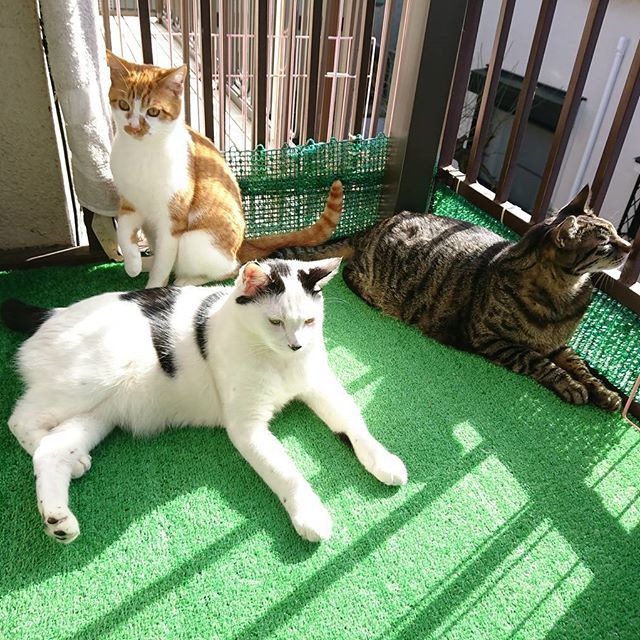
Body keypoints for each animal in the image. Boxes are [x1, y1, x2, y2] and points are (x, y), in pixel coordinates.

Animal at [1, 258, 407, 544]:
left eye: (309, 321)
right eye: (275, 321)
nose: (297, 345)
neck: (279, 362)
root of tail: (53, 313)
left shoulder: (320, 385)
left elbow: (353, 421)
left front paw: (383, 460)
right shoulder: (246, 427)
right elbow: (286, 471)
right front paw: (310, 514)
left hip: (100, 413)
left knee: (52, 450)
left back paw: (59, 519)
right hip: (93, 377)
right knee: (21, 419)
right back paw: (61, 462)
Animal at [106, 51, 343, 288]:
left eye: (153, 112)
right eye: (124, 105)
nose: (135, 127)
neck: (141, 153)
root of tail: (241, 245)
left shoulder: (172, 219)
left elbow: (164, 263)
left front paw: (153, 287)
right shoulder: (130, 204)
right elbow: (123, 234)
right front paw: (132, 264)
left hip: (193, 241)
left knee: (230, 268)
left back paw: (186, 279)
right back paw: (147, 262)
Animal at [275, 186, 631, 411]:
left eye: (615, 232)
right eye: (605, 243)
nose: (628, 246)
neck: (565, 298)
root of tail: (371, 228)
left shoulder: (559, 343)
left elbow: (578, 363)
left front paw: (603, 391)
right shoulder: (491, 339)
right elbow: (539, 361)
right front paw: (571, 385)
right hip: (374, 274)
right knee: (351, 274)